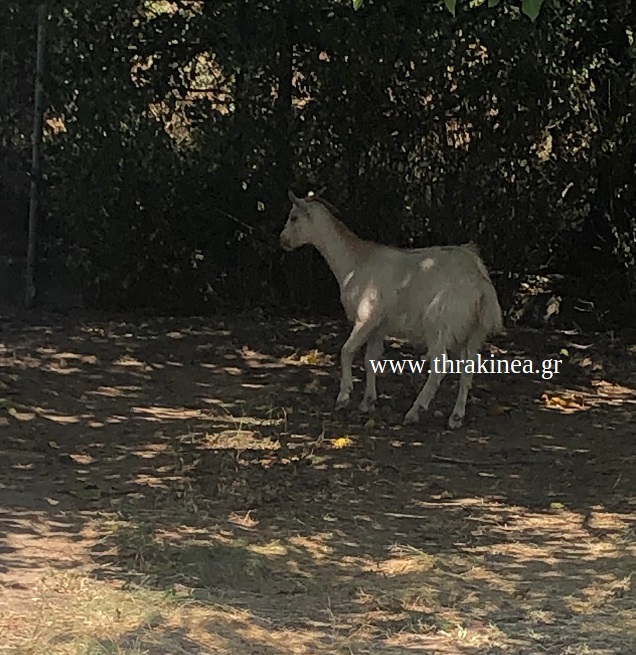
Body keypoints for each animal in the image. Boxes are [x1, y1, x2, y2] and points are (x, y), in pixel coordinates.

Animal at [280, 190, 504, 430]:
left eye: (293, 217)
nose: (282, 240)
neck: (355, 263)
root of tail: (480, 283)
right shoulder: (379, 326)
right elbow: (371, 359)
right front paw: (368, 402)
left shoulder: (366, 317)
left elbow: (346, 351)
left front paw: (344, 396)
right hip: (473, 331)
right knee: (468, 367)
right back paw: (456, 417)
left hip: (438, 323)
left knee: (440, 366)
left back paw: (415, 411)